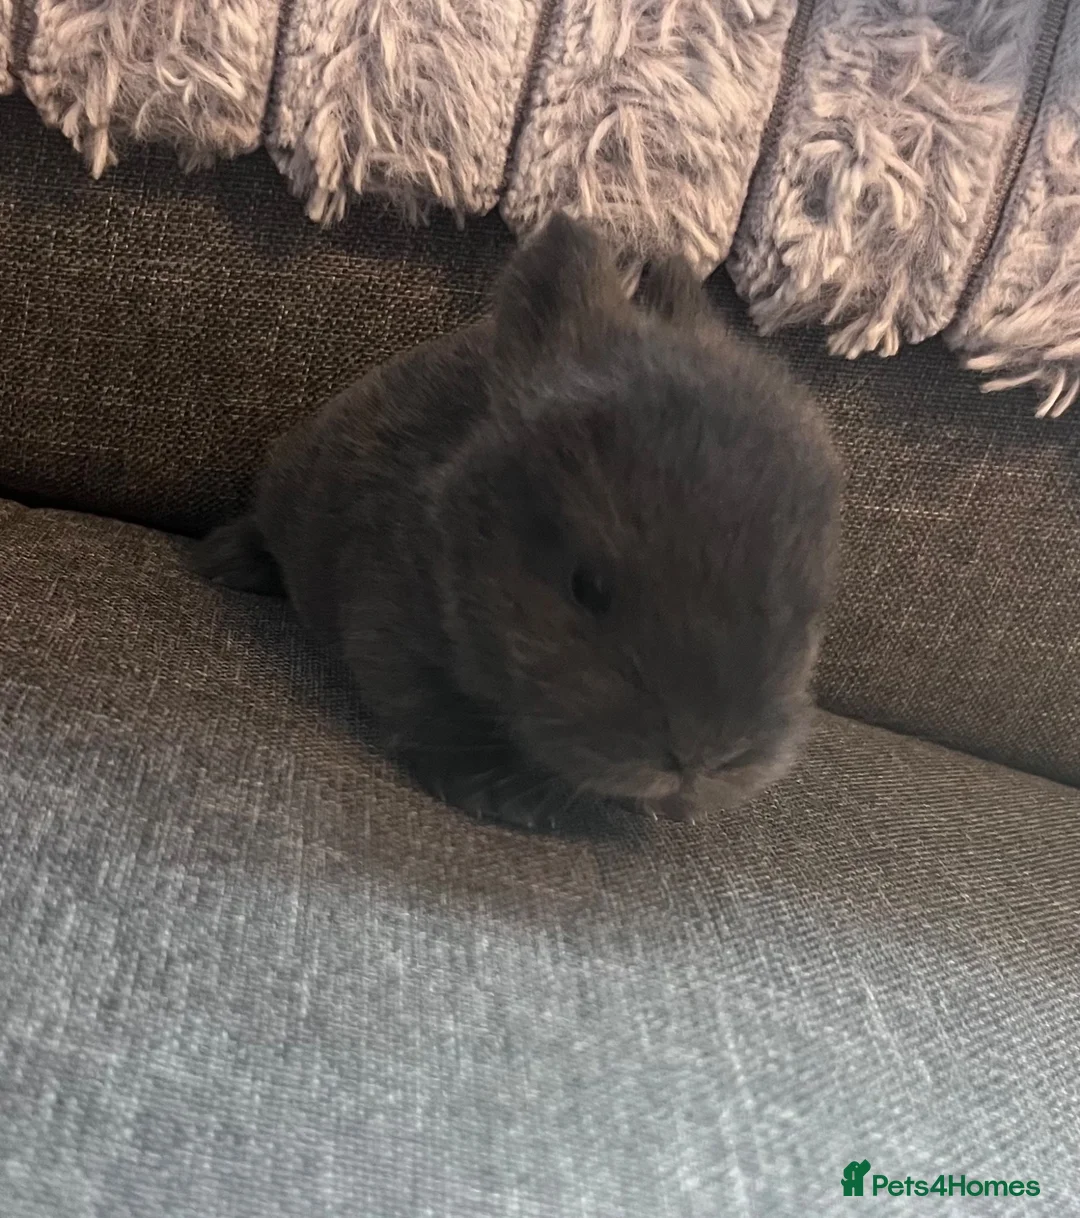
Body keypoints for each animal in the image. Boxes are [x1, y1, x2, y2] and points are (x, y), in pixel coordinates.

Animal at [193, 213, 841, 830]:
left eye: (804, 614)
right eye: (586, 587)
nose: (703, 758)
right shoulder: (388, 609)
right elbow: (428, 705)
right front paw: (498, 794)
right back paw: (225, 561)